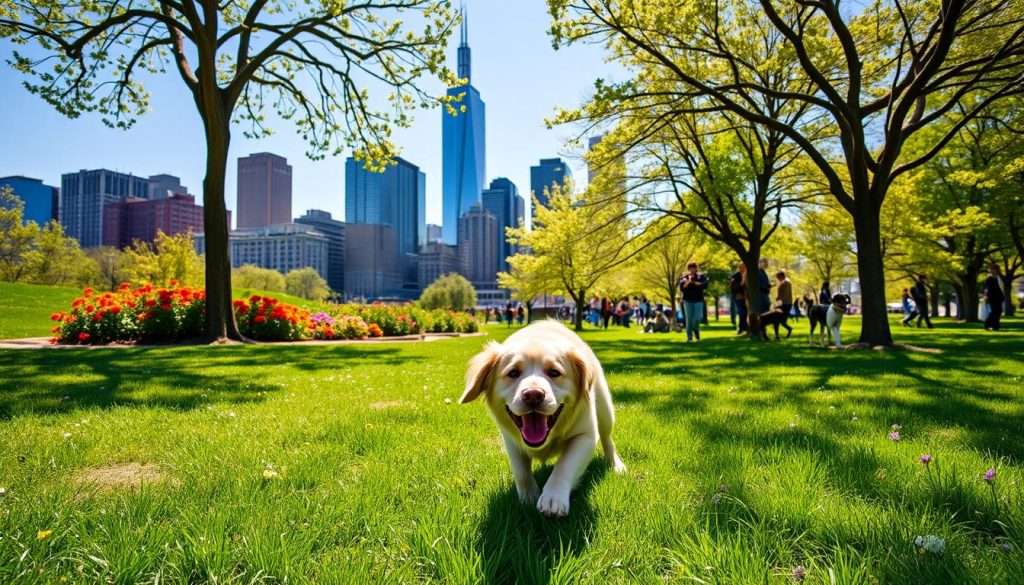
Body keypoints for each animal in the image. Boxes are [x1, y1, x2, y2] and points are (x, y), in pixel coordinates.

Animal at [462, 319, 622, 516]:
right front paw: (528, 497)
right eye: (513, 373)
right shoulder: (511, 441)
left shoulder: (585, 436)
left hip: (605, 410)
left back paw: (616, 465)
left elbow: (564, 465)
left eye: (554, 372)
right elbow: (521, 472)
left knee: (608, 439)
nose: (533, 395)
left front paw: (553, 497)